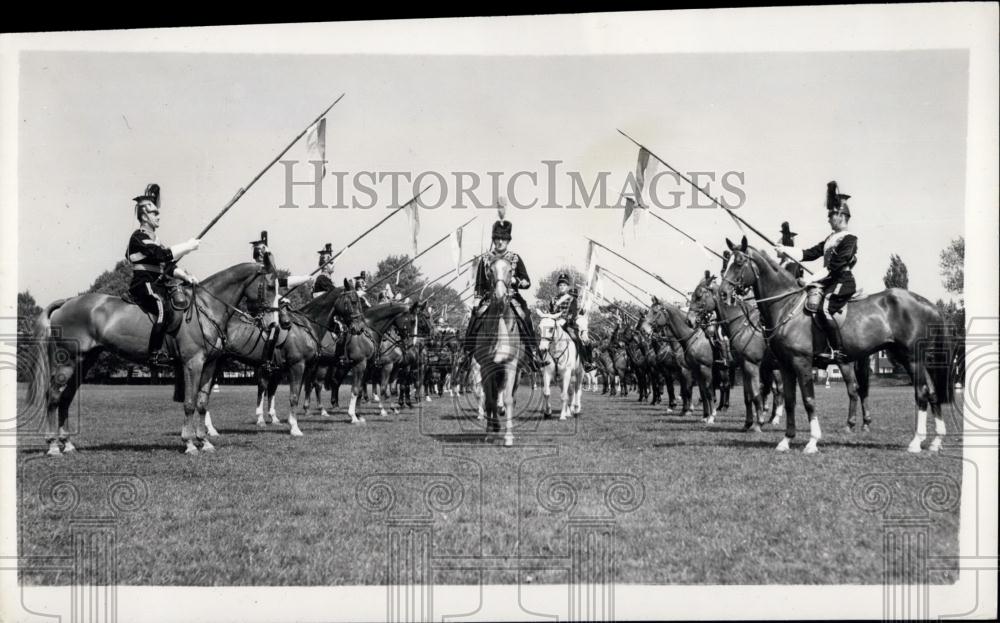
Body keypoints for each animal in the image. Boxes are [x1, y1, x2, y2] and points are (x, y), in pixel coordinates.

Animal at [27, 260, 278, 456]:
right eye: (270, 286)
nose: (273, 324)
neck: (207, 308)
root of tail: (67, 302)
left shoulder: (209, 366)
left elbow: (201, 403)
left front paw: (204, 441)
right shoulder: (192, 364)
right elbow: (189, 403)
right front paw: (189, 443)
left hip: (83, 363)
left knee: (66, 398)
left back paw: (67, 444)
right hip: (67, 362)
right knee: (53, 397)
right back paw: (52, 446)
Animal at [472, 255, 528, 448]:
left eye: (511, 270)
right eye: (490, 270)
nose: (500, 296)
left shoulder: (511, 366)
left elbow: (509, 399)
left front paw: (508, 437)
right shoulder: (486, 367)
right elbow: (489, 400)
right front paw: (490, 432)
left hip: (516, 373)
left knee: (510, 397)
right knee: (493, 397)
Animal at [720, 238, 952, 454]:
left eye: (739, 262)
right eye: (726, 263)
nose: (723, 293)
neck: (786, 306)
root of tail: (929, 305)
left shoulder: (801, 362)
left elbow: (808, 400)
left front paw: (812, 441)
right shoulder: (785, 366)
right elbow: (789, 401)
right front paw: (786, 440)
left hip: (912, 360)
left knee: (921, 393)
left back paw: (916, 441)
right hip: (915, 360)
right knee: (932, 393)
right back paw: (936, 441)